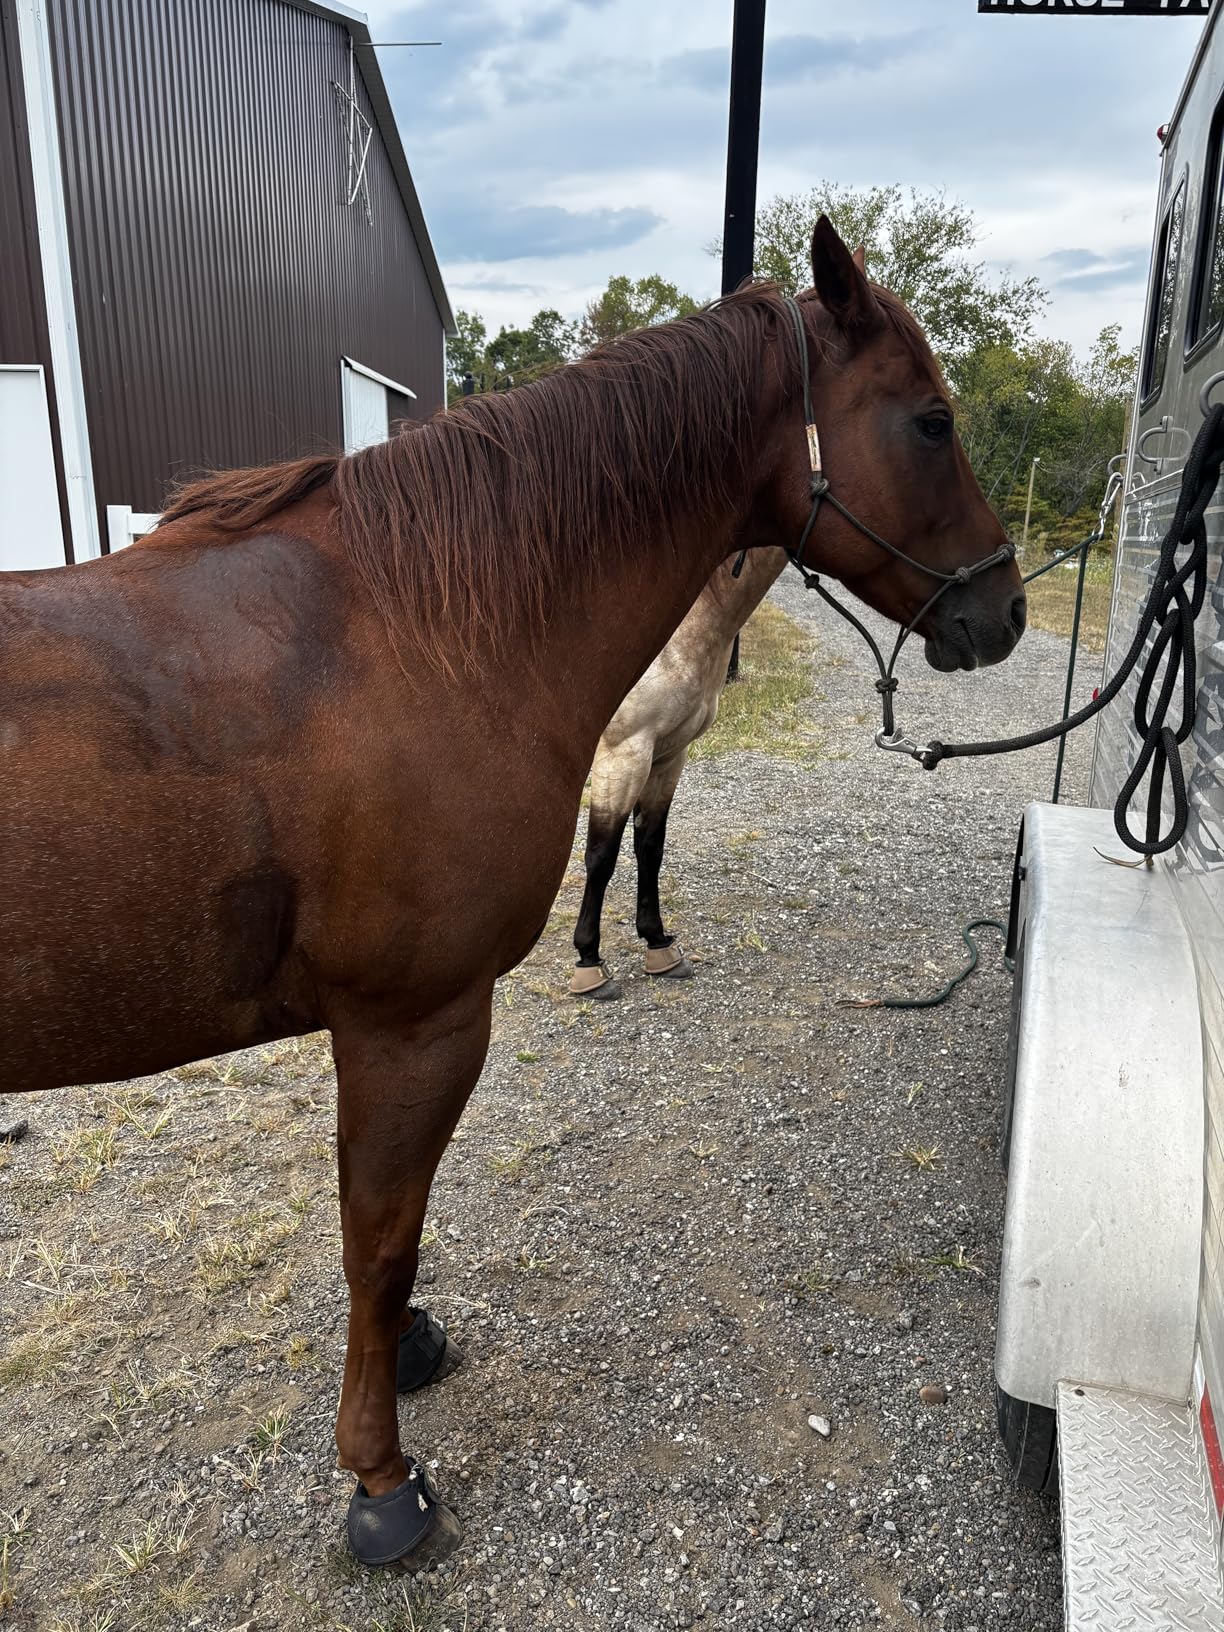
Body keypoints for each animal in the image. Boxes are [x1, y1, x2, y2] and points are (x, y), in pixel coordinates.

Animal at [568, 543, 787, 999]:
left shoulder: (668, 757)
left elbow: (650, 847)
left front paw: (658, 943)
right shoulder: (622, 755)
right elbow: (601, 855)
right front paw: (589, 962)